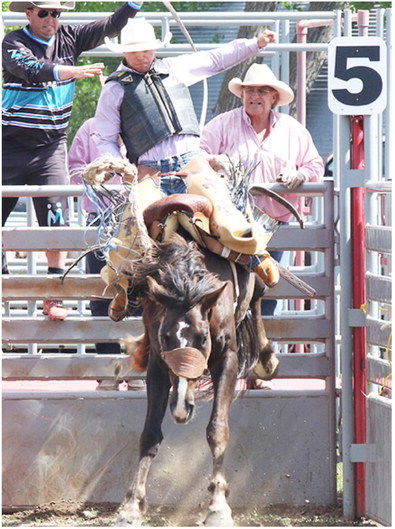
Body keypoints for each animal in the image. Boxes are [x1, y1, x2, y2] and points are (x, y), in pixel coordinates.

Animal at [117, 234, 278, 524]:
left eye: (203, 338)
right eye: (165, 337)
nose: (181, 408)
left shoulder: (227, 358)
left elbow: (217, 430)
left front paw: (218, 506)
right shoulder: (157, 364)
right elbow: (149, 434)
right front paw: (131, 507)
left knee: (259, 293)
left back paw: (266, 361)